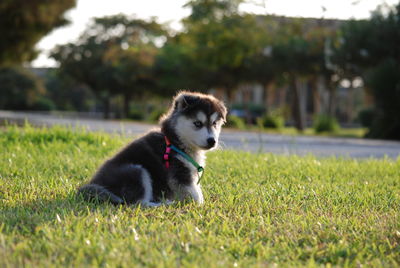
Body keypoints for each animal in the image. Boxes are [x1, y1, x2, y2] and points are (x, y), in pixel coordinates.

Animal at [77, 91, 227, 206]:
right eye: (198, 123)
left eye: (214, 124)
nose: (212, 141)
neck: (175, 141)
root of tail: (93, 184)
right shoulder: (179, 174)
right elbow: (195, 196)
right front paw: (202, 205)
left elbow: (197, 191)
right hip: (136, 171)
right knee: (137, 203)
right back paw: (162, 204)